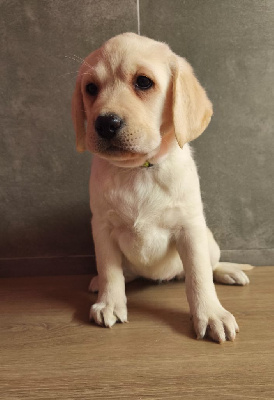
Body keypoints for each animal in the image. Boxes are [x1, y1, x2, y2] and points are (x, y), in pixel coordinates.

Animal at [71, 32, 253, 342]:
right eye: (91, 88)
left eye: (143, 82)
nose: (105, 123)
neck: (138, 170)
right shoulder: (102, 227)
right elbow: (109, 269)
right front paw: (110, 302)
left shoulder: (189, 228)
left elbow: (198, 277)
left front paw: (211, 314)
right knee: (120, 272)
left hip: (209, 240)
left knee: (209, 266)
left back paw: (229, 271)